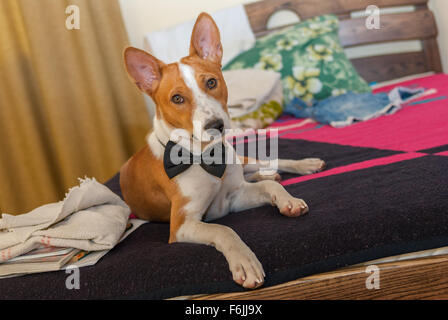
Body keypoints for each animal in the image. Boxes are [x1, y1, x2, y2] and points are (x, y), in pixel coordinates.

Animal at [121, 12, 324, 288]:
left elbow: (269, 187)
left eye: (211, 82)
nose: (215, 125)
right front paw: (245, 261)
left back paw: (302, 165)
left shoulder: (233, 197)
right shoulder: (182, 224)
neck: (206, 157)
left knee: (269, 164)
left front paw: (287, 200)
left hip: (241, 159)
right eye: (177, 99)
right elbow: (224, 230)